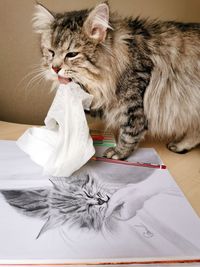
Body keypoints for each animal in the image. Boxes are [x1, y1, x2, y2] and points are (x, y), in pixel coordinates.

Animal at [32, 1, 200, 159]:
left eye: (72, 54)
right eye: (51, 52)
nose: (54, 68)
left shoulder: (134, 104)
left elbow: (129, 133)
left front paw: (119, 152)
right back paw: (180, 145)